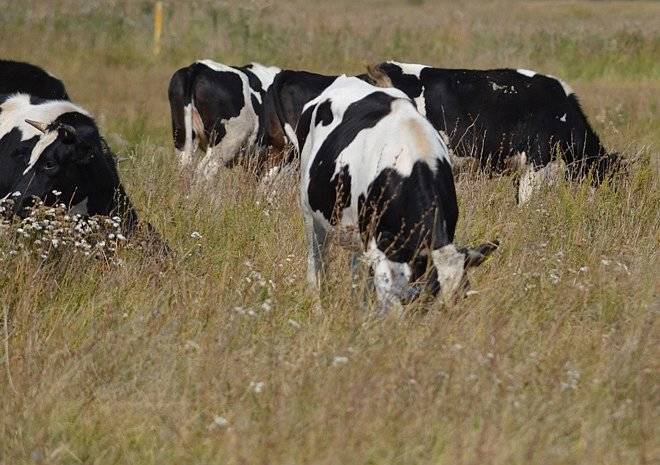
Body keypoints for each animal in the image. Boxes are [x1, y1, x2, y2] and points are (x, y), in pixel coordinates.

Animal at [292, 77, 498, 312]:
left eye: (460, 298)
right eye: (431, 295)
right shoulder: (380, 252)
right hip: (310, 214)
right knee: (316, 264)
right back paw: (318, 308)